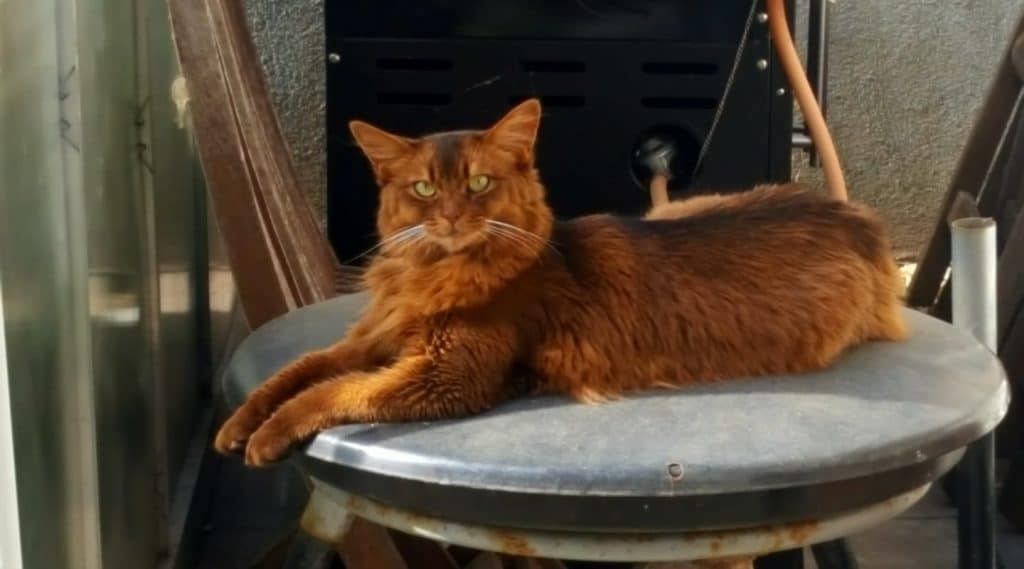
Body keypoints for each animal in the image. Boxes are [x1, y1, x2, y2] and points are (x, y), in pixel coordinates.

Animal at [216, 98, 905, 466]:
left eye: (478, 184)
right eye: (424, 189)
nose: (451, 217)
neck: (430, 274)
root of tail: (857, 218)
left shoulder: (448, 374)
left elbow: (333, 392)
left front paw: (270, 433)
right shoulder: (373, 340)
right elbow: (300, 370)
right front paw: (240, 422)